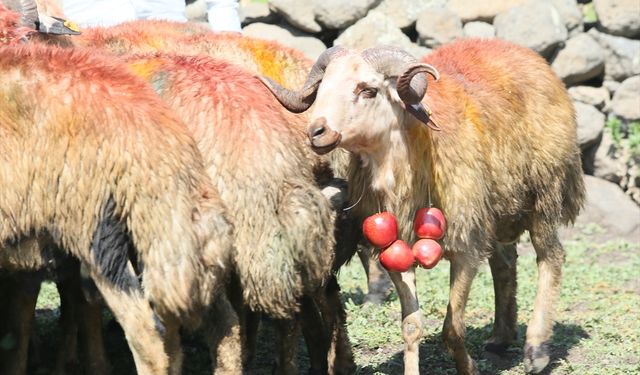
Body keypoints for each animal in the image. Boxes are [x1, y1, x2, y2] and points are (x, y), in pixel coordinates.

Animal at [260, 39, 584, 375]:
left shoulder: (466, 246)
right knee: (505, 262)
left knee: (551, 257)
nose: (316, 132)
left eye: (368, 90)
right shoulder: (396, 248)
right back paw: (500, 338)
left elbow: (452, 329)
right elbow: (411, 326)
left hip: (546, 192)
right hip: (497, 207)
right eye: (322, 89)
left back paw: (537, 350)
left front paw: (469, 368)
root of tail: (525, 53)